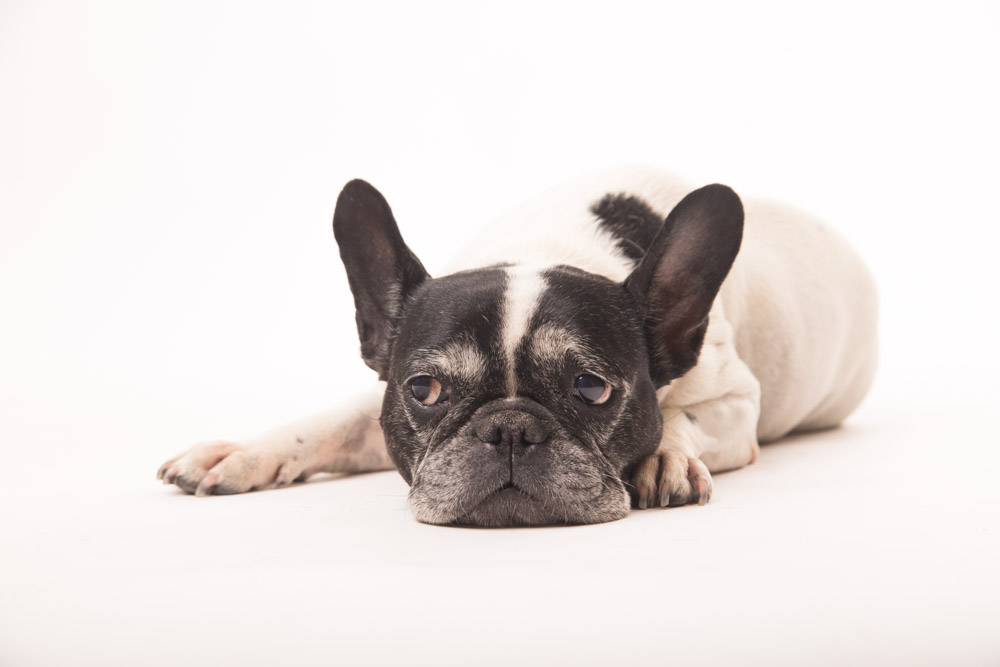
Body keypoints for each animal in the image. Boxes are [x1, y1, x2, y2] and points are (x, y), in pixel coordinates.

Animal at [154, 166, 876, 528]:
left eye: (592, 387)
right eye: (425, 389)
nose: (508, 428)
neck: (542, 247)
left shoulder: (736, 401)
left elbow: (683, 415)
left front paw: (664, 455)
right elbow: (326, 424)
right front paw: (243, 452)